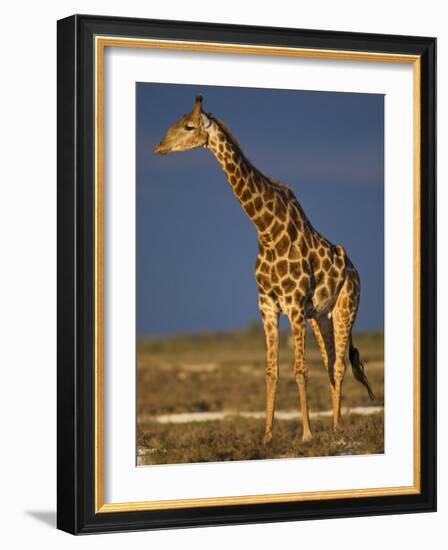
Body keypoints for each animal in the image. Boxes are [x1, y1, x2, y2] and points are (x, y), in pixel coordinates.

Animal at [154, 95, 374, 446]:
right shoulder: (267, 304)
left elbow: (300, 369)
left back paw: (336, 431)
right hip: (321, 316)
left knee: (339, 366)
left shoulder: (294, 304)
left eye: (188, 126)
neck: (267, 229)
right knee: (330, 364)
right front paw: (268, 435)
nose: (159, 147)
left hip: (345, 308)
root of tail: (354, 271)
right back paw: (335, 428)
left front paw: (307, 434)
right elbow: (272, 370)